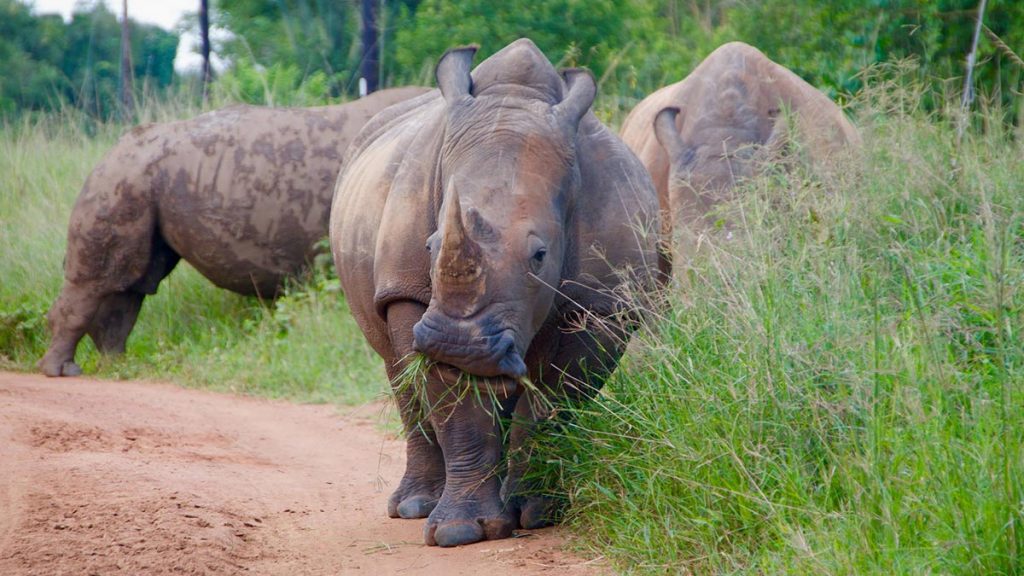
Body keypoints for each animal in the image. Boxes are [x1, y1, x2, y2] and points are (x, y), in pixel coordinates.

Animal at [40, 84, 428, 373]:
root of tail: (112, 149)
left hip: (138, 179)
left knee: (133, 283)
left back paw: (117, 366)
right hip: (123, 178)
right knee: (103, 280)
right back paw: (64, 371)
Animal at [331, 39, 659, 541]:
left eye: (540, 255)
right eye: (430, 246)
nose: (459, 344)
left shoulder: (602, 305)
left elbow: (552, 404)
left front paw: (540, 513)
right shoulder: (410, 292)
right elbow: (455, 406)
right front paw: (459, 532)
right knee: (399, 371)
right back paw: (414, 507)